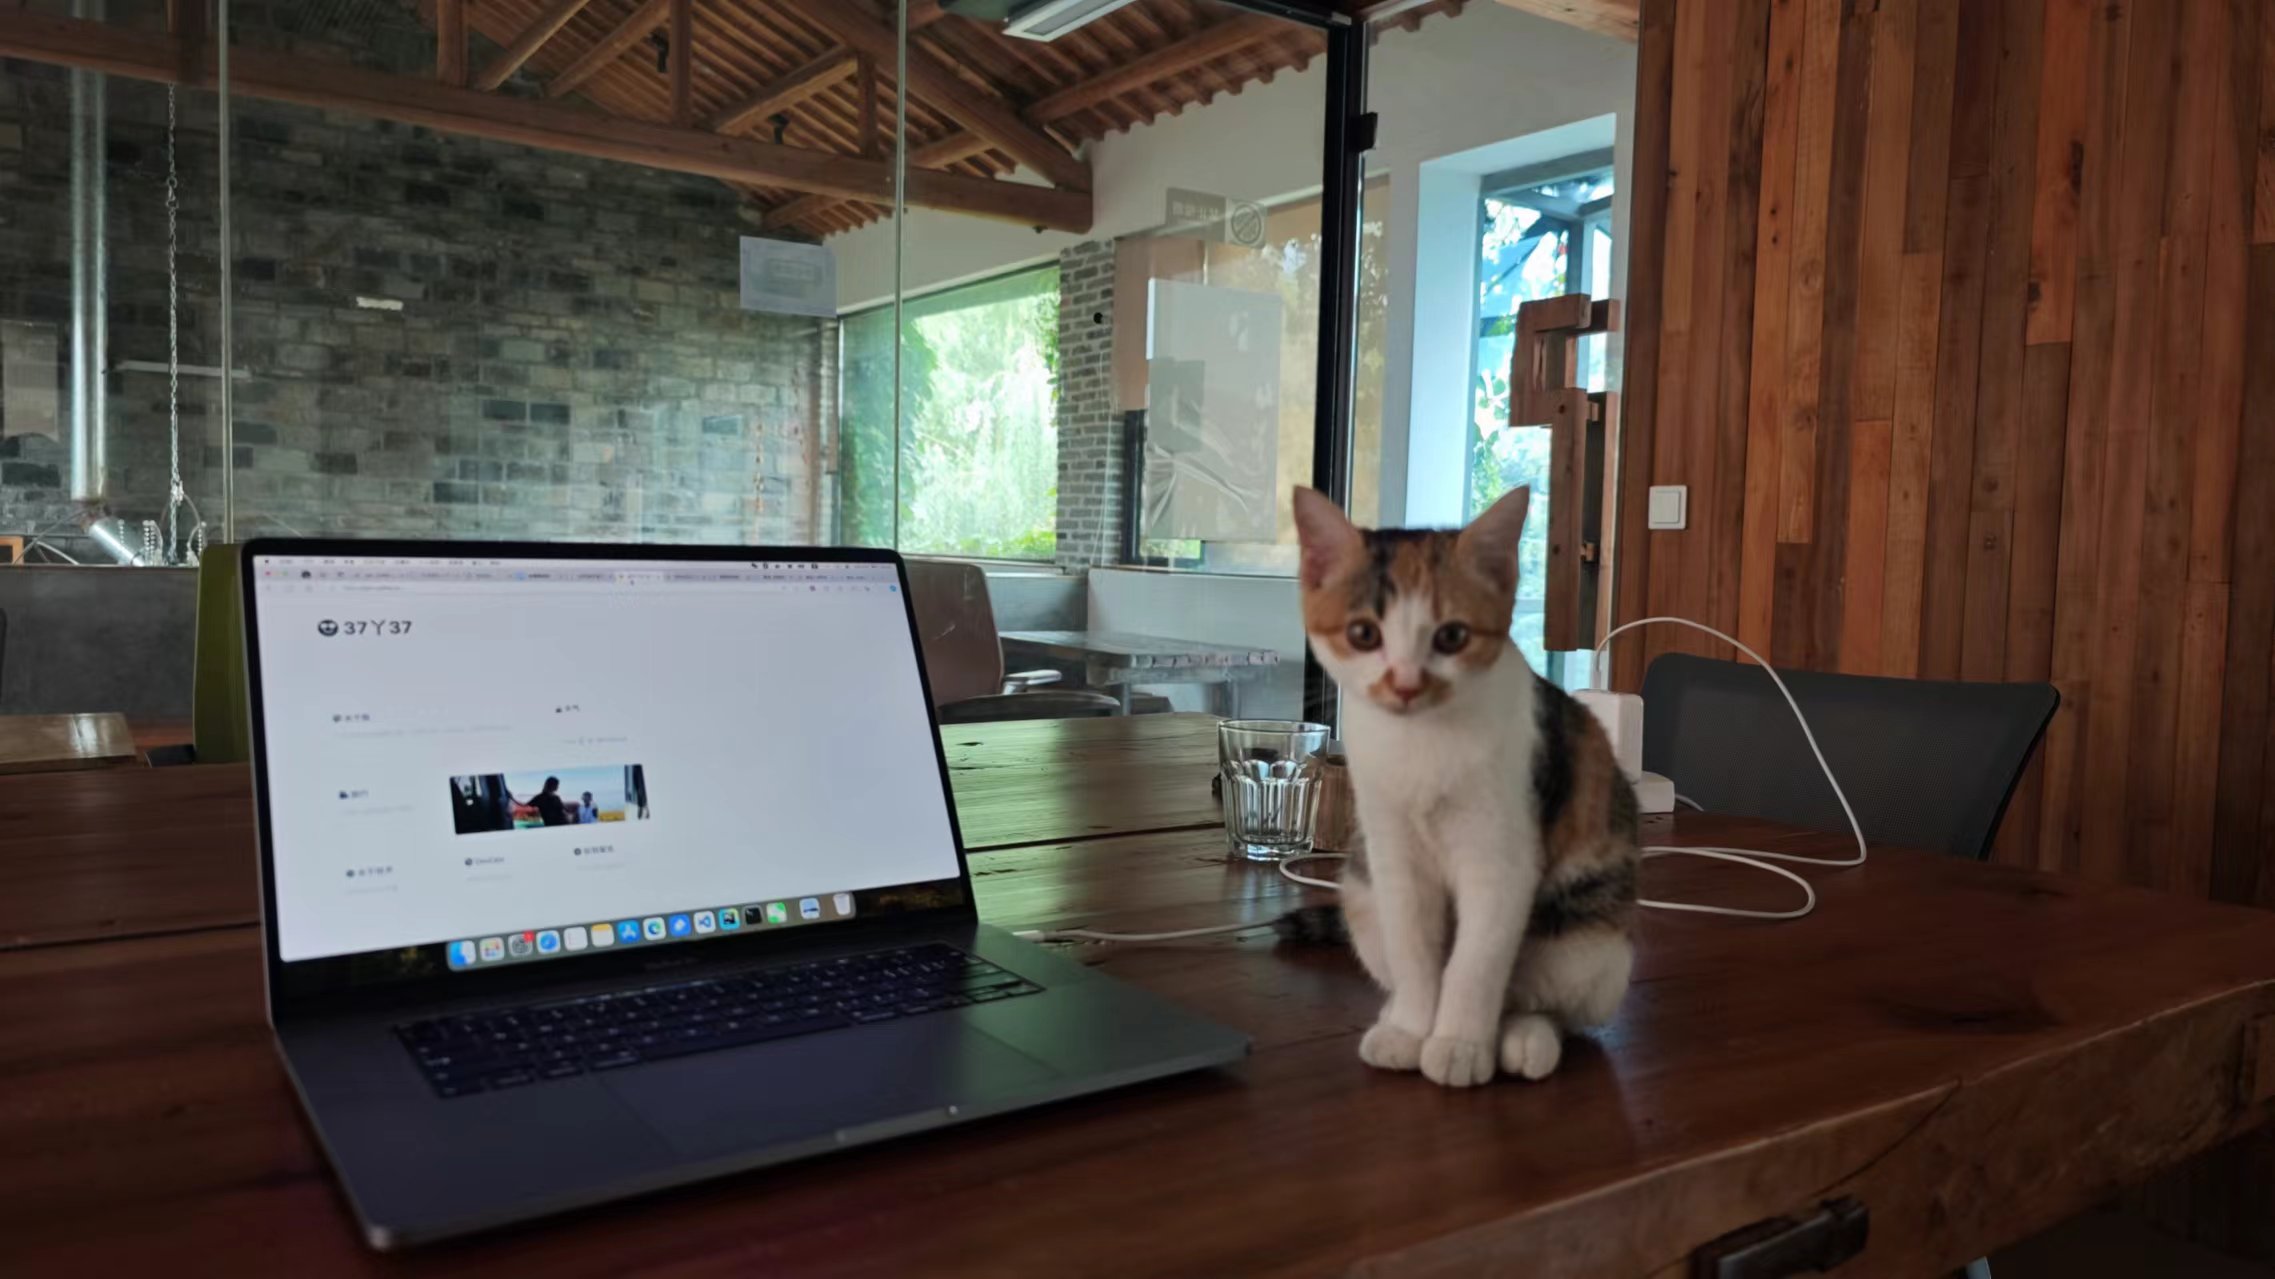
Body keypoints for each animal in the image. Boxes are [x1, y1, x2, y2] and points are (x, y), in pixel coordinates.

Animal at [1286, 485, 1640, 1087]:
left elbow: (1476, 961)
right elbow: (1413, 946)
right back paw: (1395, 1013)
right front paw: (1412, 1028)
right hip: (1361, 895)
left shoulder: (1503, 855)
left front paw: (1457, 1044)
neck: (1423, 742)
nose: (1405, 684)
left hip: (1591, 945)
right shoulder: (1392, 853)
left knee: (1545, 1000)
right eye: (1363, 634)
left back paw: (1523, 1036)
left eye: (1451, 636)